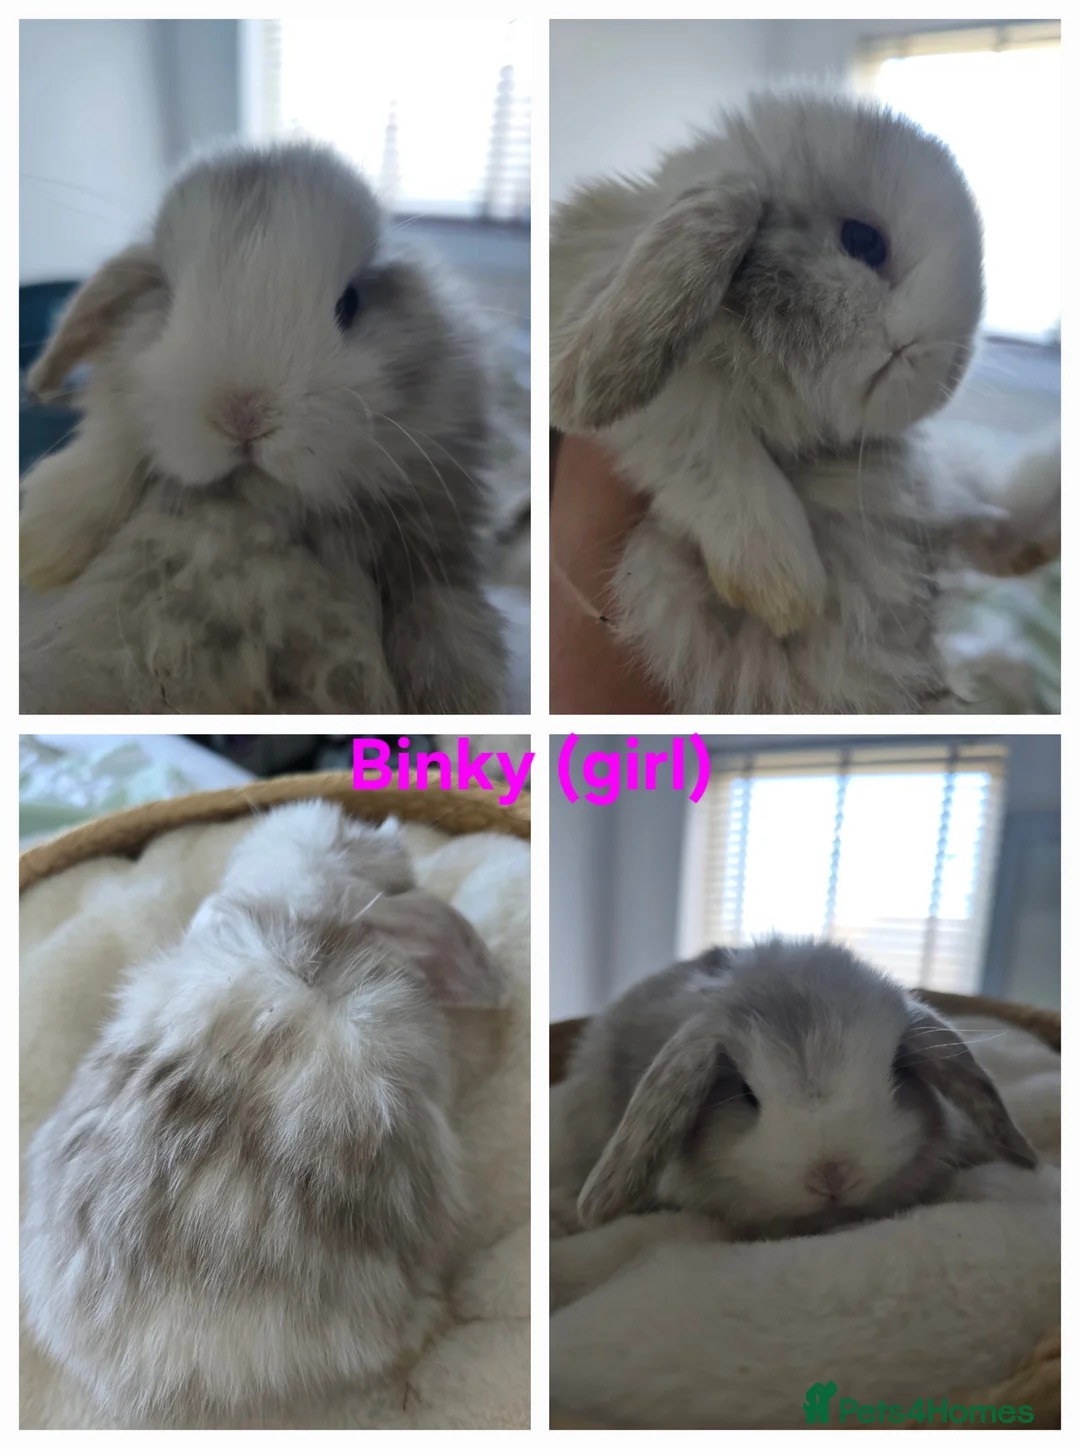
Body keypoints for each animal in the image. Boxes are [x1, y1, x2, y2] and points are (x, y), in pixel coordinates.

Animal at [20, 140, 508, 713]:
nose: (244, 416)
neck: (258, 504)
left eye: (350, 304)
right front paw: (39, 551)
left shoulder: (437, 528)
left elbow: (440, 611)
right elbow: (106, 458)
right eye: (168, 299)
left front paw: (463, 701)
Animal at [551, 89, 1059, 713]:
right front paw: (787, 586)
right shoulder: (663, 400)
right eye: (863, 242)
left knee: (997, 528)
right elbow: (708, 451)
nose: (950, 369)